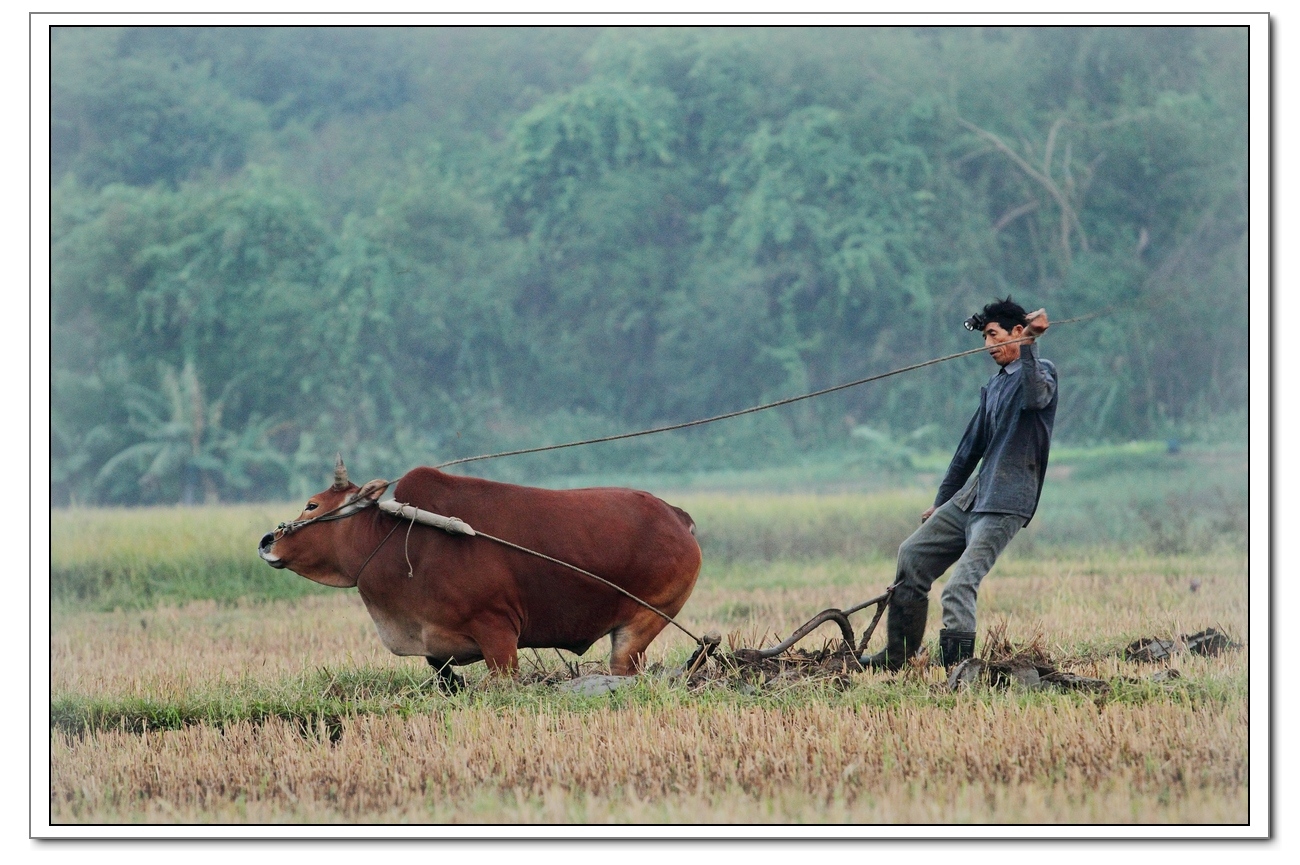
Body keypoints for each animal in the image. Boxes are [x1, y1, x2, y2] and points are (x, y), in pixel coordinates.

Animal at [254, 455, 702, 692]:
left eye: (312, 505)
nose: (267, 541)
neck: (396, 539)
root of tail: (676, 516)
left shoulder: (497, 632)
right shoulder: (436, 641)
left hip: (643, 622)